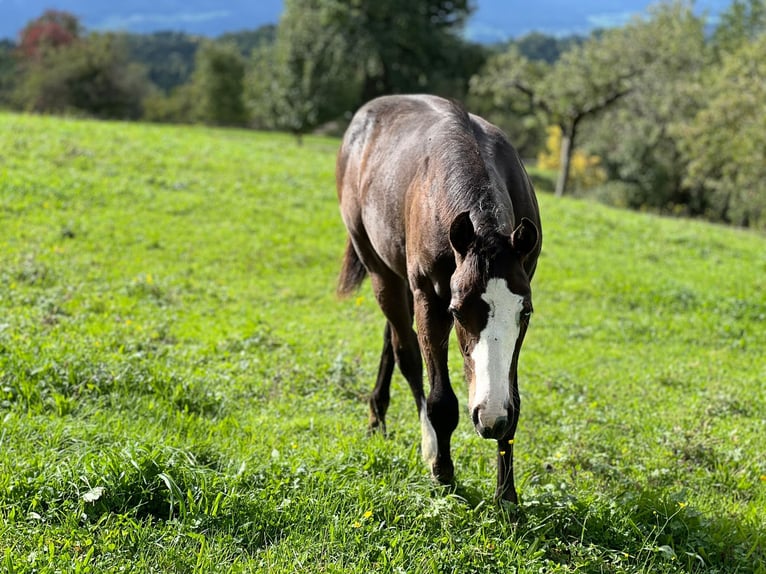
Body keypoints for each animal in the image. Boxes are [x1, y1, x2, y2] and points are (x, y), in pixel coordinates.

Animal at [335, 94, 541, 503]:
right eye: (458, 313)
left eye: (525, 313)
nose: (490, 419)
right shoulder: (430, 301)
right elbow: (441, 399)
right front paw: (443, 471)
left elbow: (515, 400)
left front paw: (507, 498)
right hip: (381, 272)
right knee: (406, 353)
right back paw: (423, 444)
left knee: (391, 336)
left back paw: (377, 417)